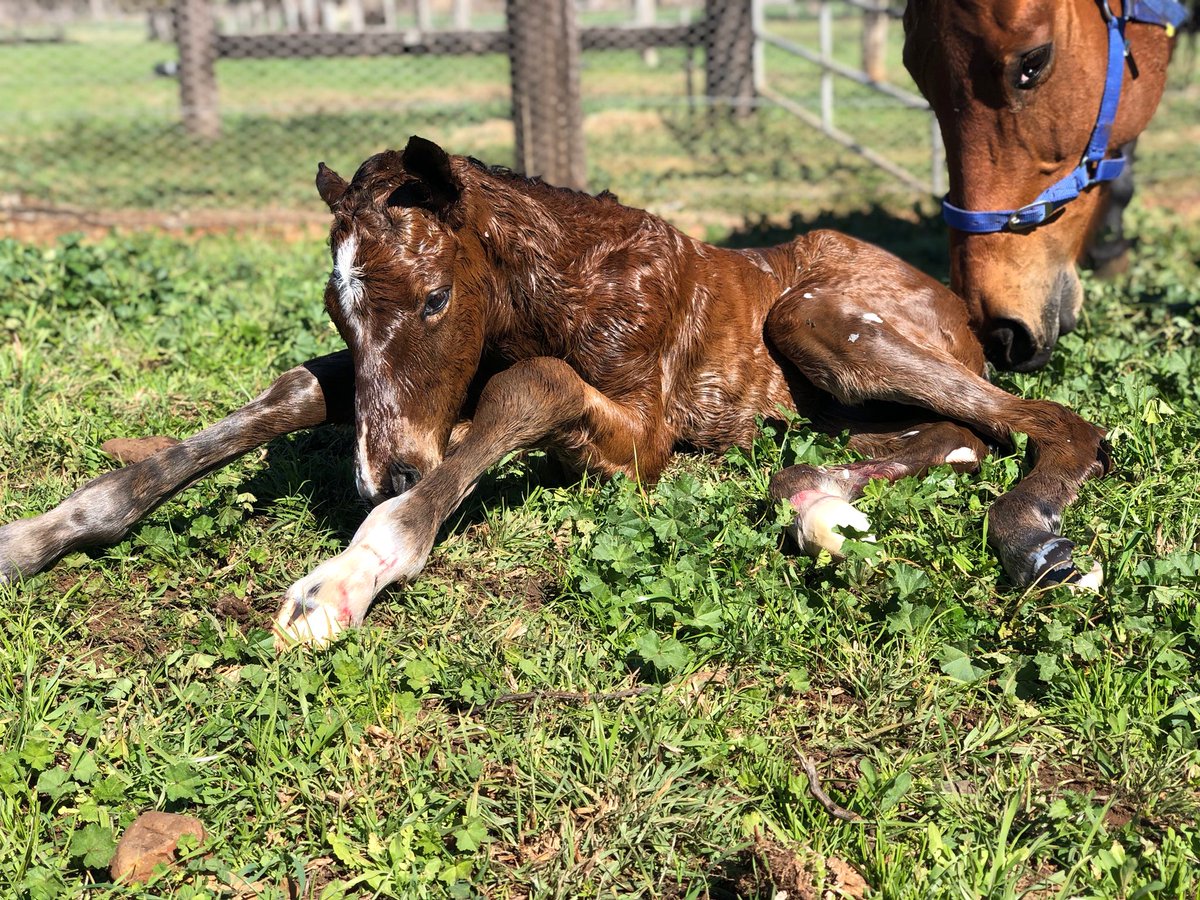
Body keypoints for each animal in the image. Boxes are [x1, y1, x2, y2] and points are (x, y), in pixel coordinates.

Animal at [0, 137, 1111, 648]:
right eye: (334, 306)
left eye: (436, 296)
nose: (382, 471)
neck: (562, 286)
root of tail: (956, 299)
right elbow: (288, 392)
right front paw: (40, 533)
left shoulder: (640, 438)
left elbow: (525, 391)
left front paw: (346, 577)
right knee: (952, 436)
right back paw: (816, 505)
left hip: (818, 320)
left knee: (1053, 423)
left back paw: (1034, 544)